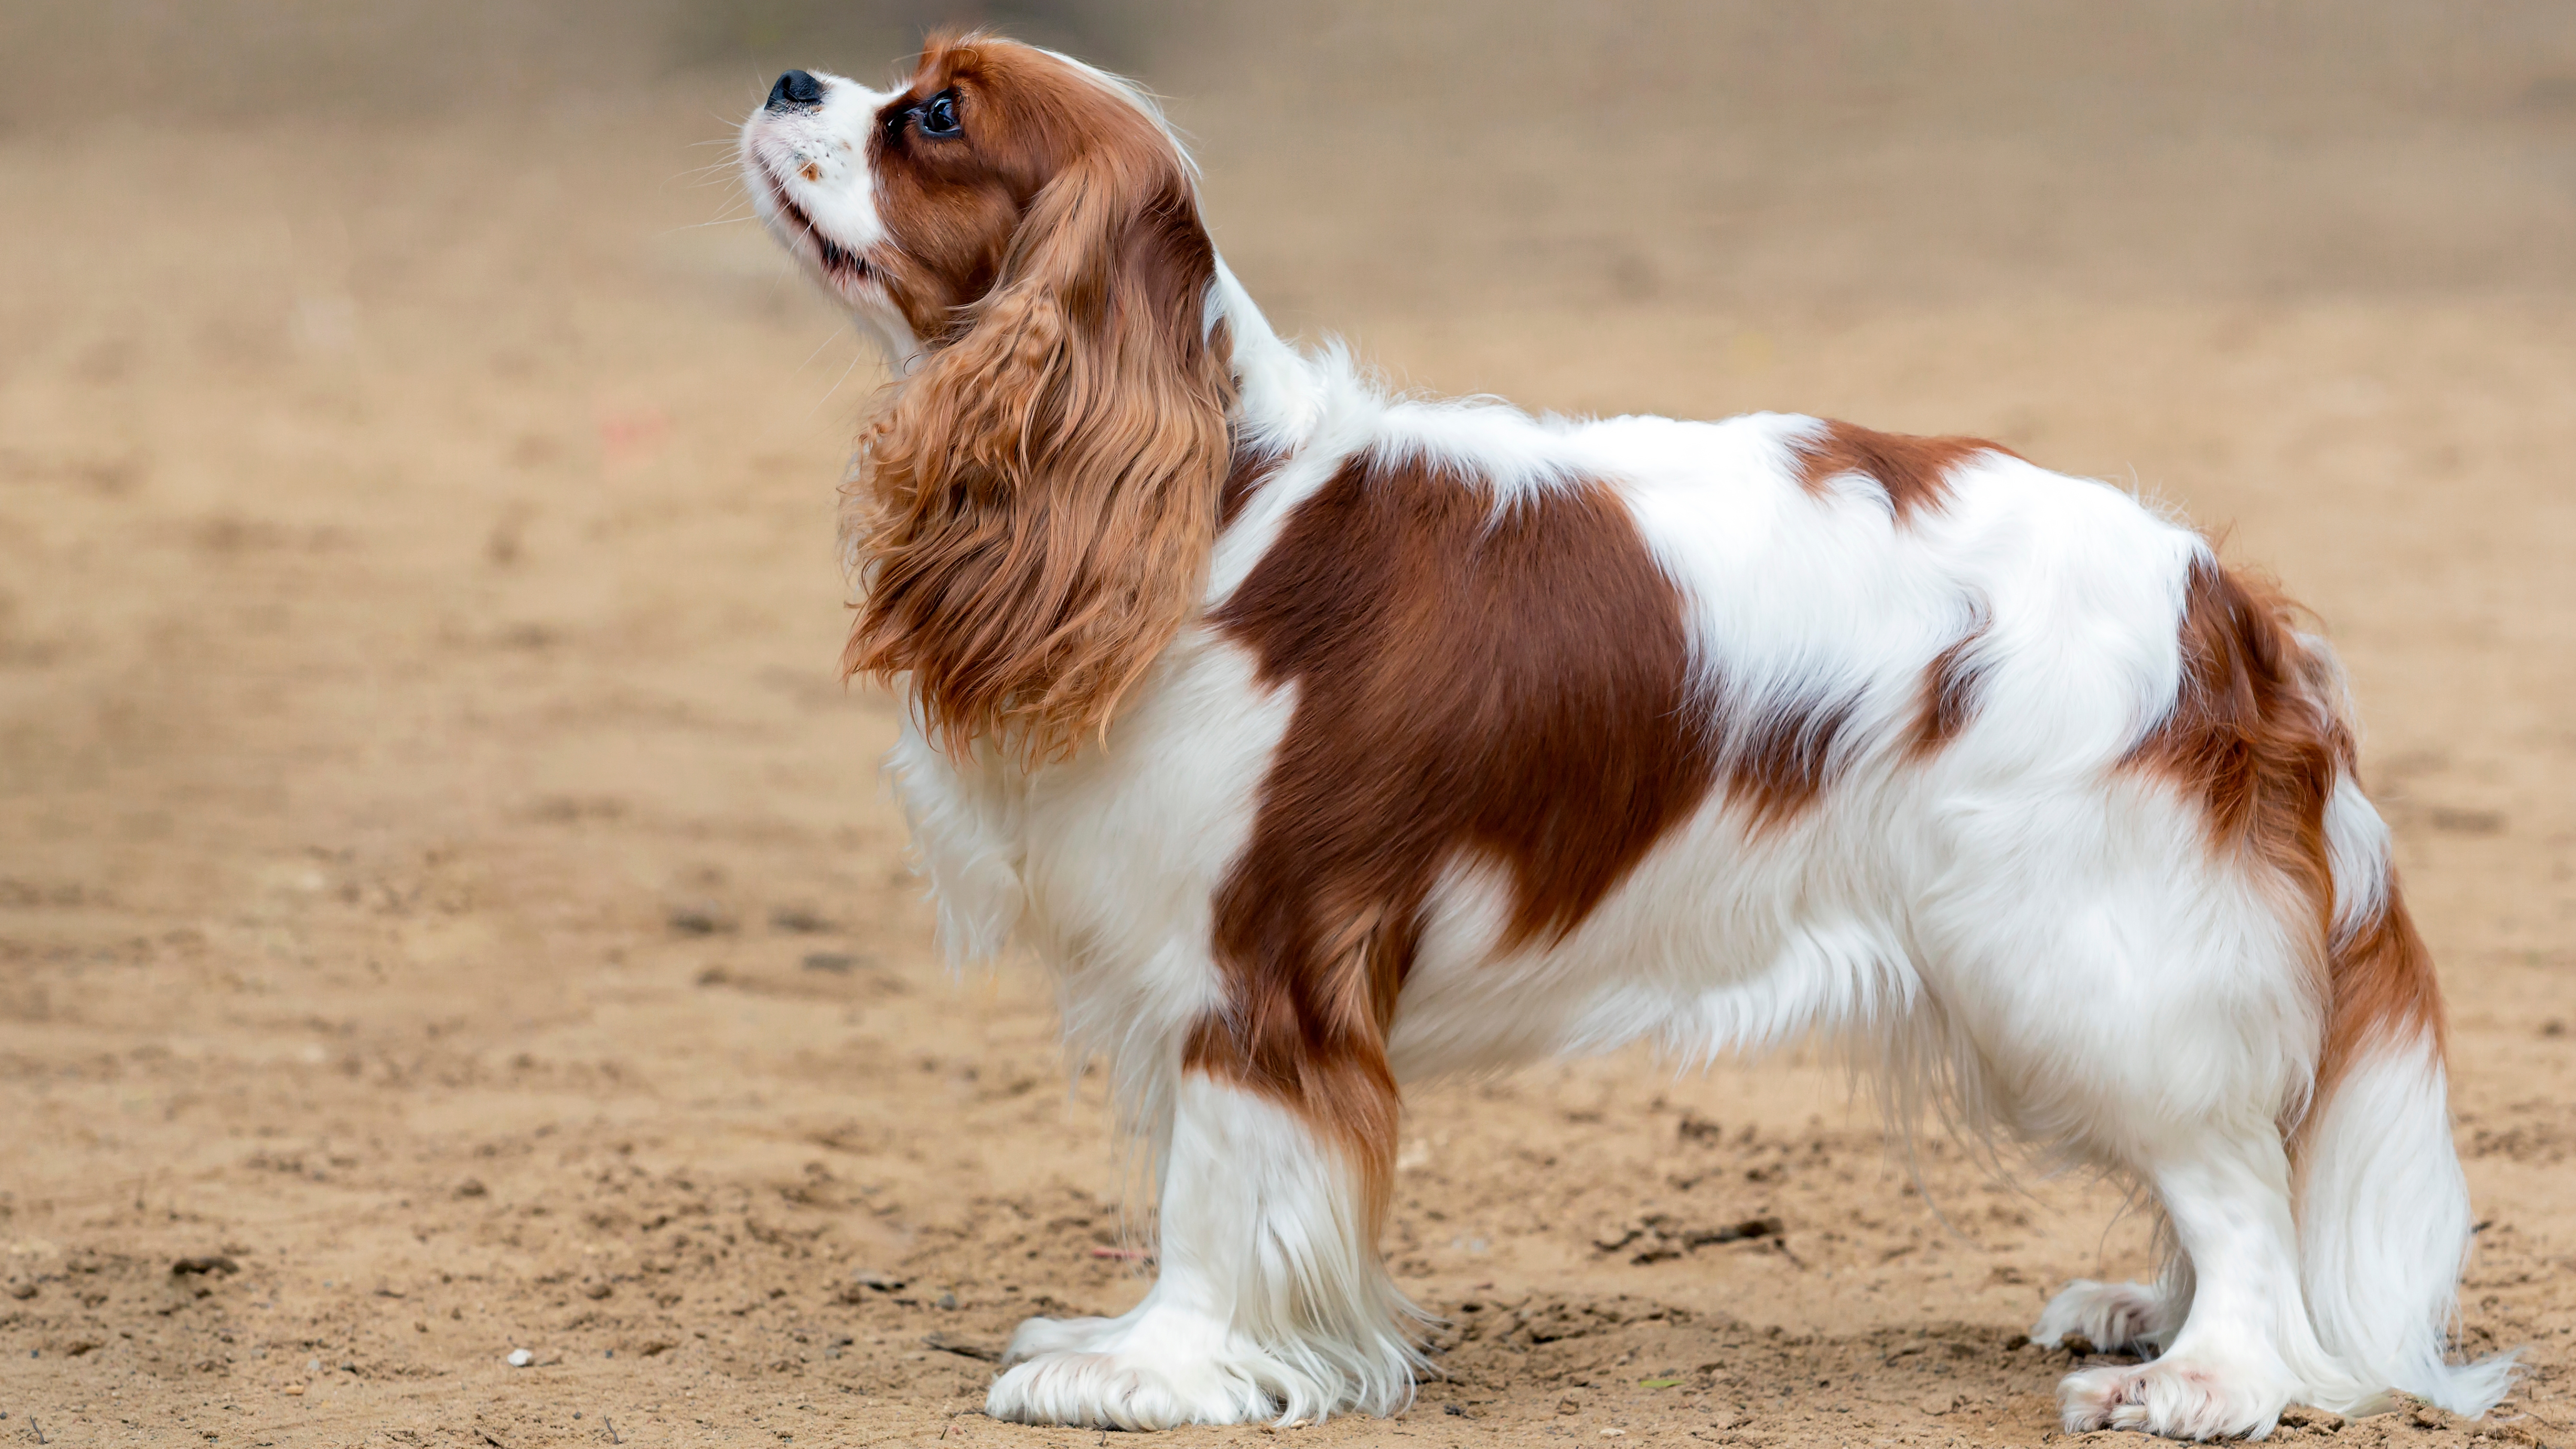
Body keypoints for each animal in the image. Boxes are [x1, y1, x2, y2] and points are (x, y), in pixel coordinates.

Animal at [737, 31, 2504, 1433]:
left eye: (937, 116)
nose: (789, 76)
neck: (1211, 496)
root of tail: (2231, 605)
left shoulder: (1256, 963)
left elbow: (1212, 1190)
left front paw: (1156, 1367)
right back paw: (2150, 1314)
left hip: (2074, 945)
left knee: (2243, 1178)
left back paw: (2212, 1372)